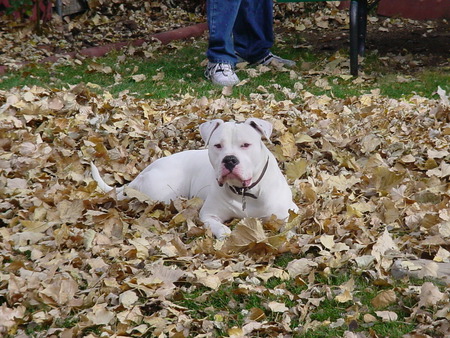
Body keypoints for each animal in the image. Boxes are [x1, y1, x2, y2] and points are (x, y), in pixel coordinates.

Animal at [89, 117, 298, 239]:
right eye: (217, 145)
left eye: (246, 145)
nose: (230, 160)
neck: (244, 192)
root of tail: (144, 171)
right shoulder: (208, 214)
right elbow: (216, 225)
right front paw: (224, 233)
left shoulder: (288, 211)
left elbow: (289, 224)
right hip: (164, 192)